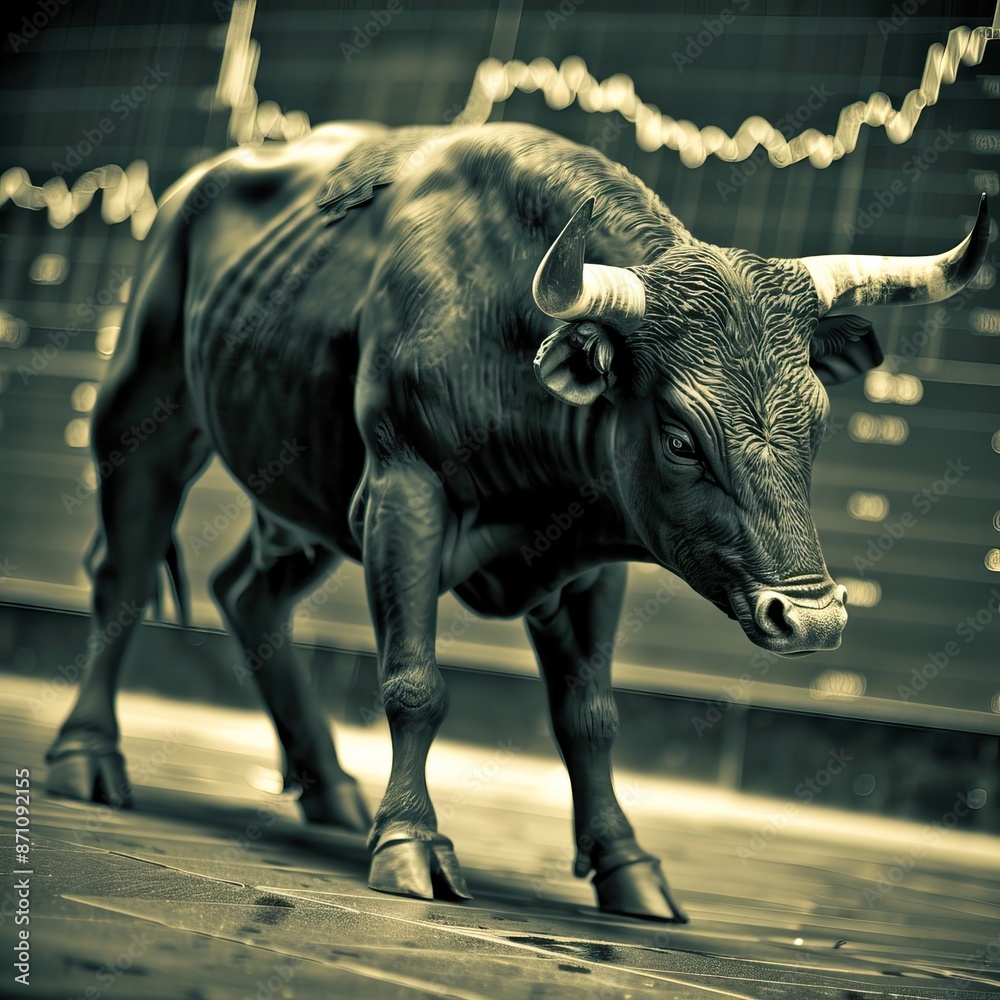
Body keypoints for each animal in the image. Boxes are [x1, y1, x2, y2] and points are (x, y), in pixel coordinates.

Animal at [44, 120, 988, 923]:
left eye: (818, 422)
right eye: (682, 437)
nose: (812, 618)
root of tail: (202, 179)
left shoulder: (593, 552)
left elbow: (589, 715)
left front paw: (626, 867)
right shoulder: (402, 491)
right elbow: (415, 684)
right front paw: (412, 843)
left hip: (302, 484)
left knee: (249, 593)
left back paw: (331, 790)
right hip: (144, 406)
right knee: (123, 575)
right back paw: (88, 757)